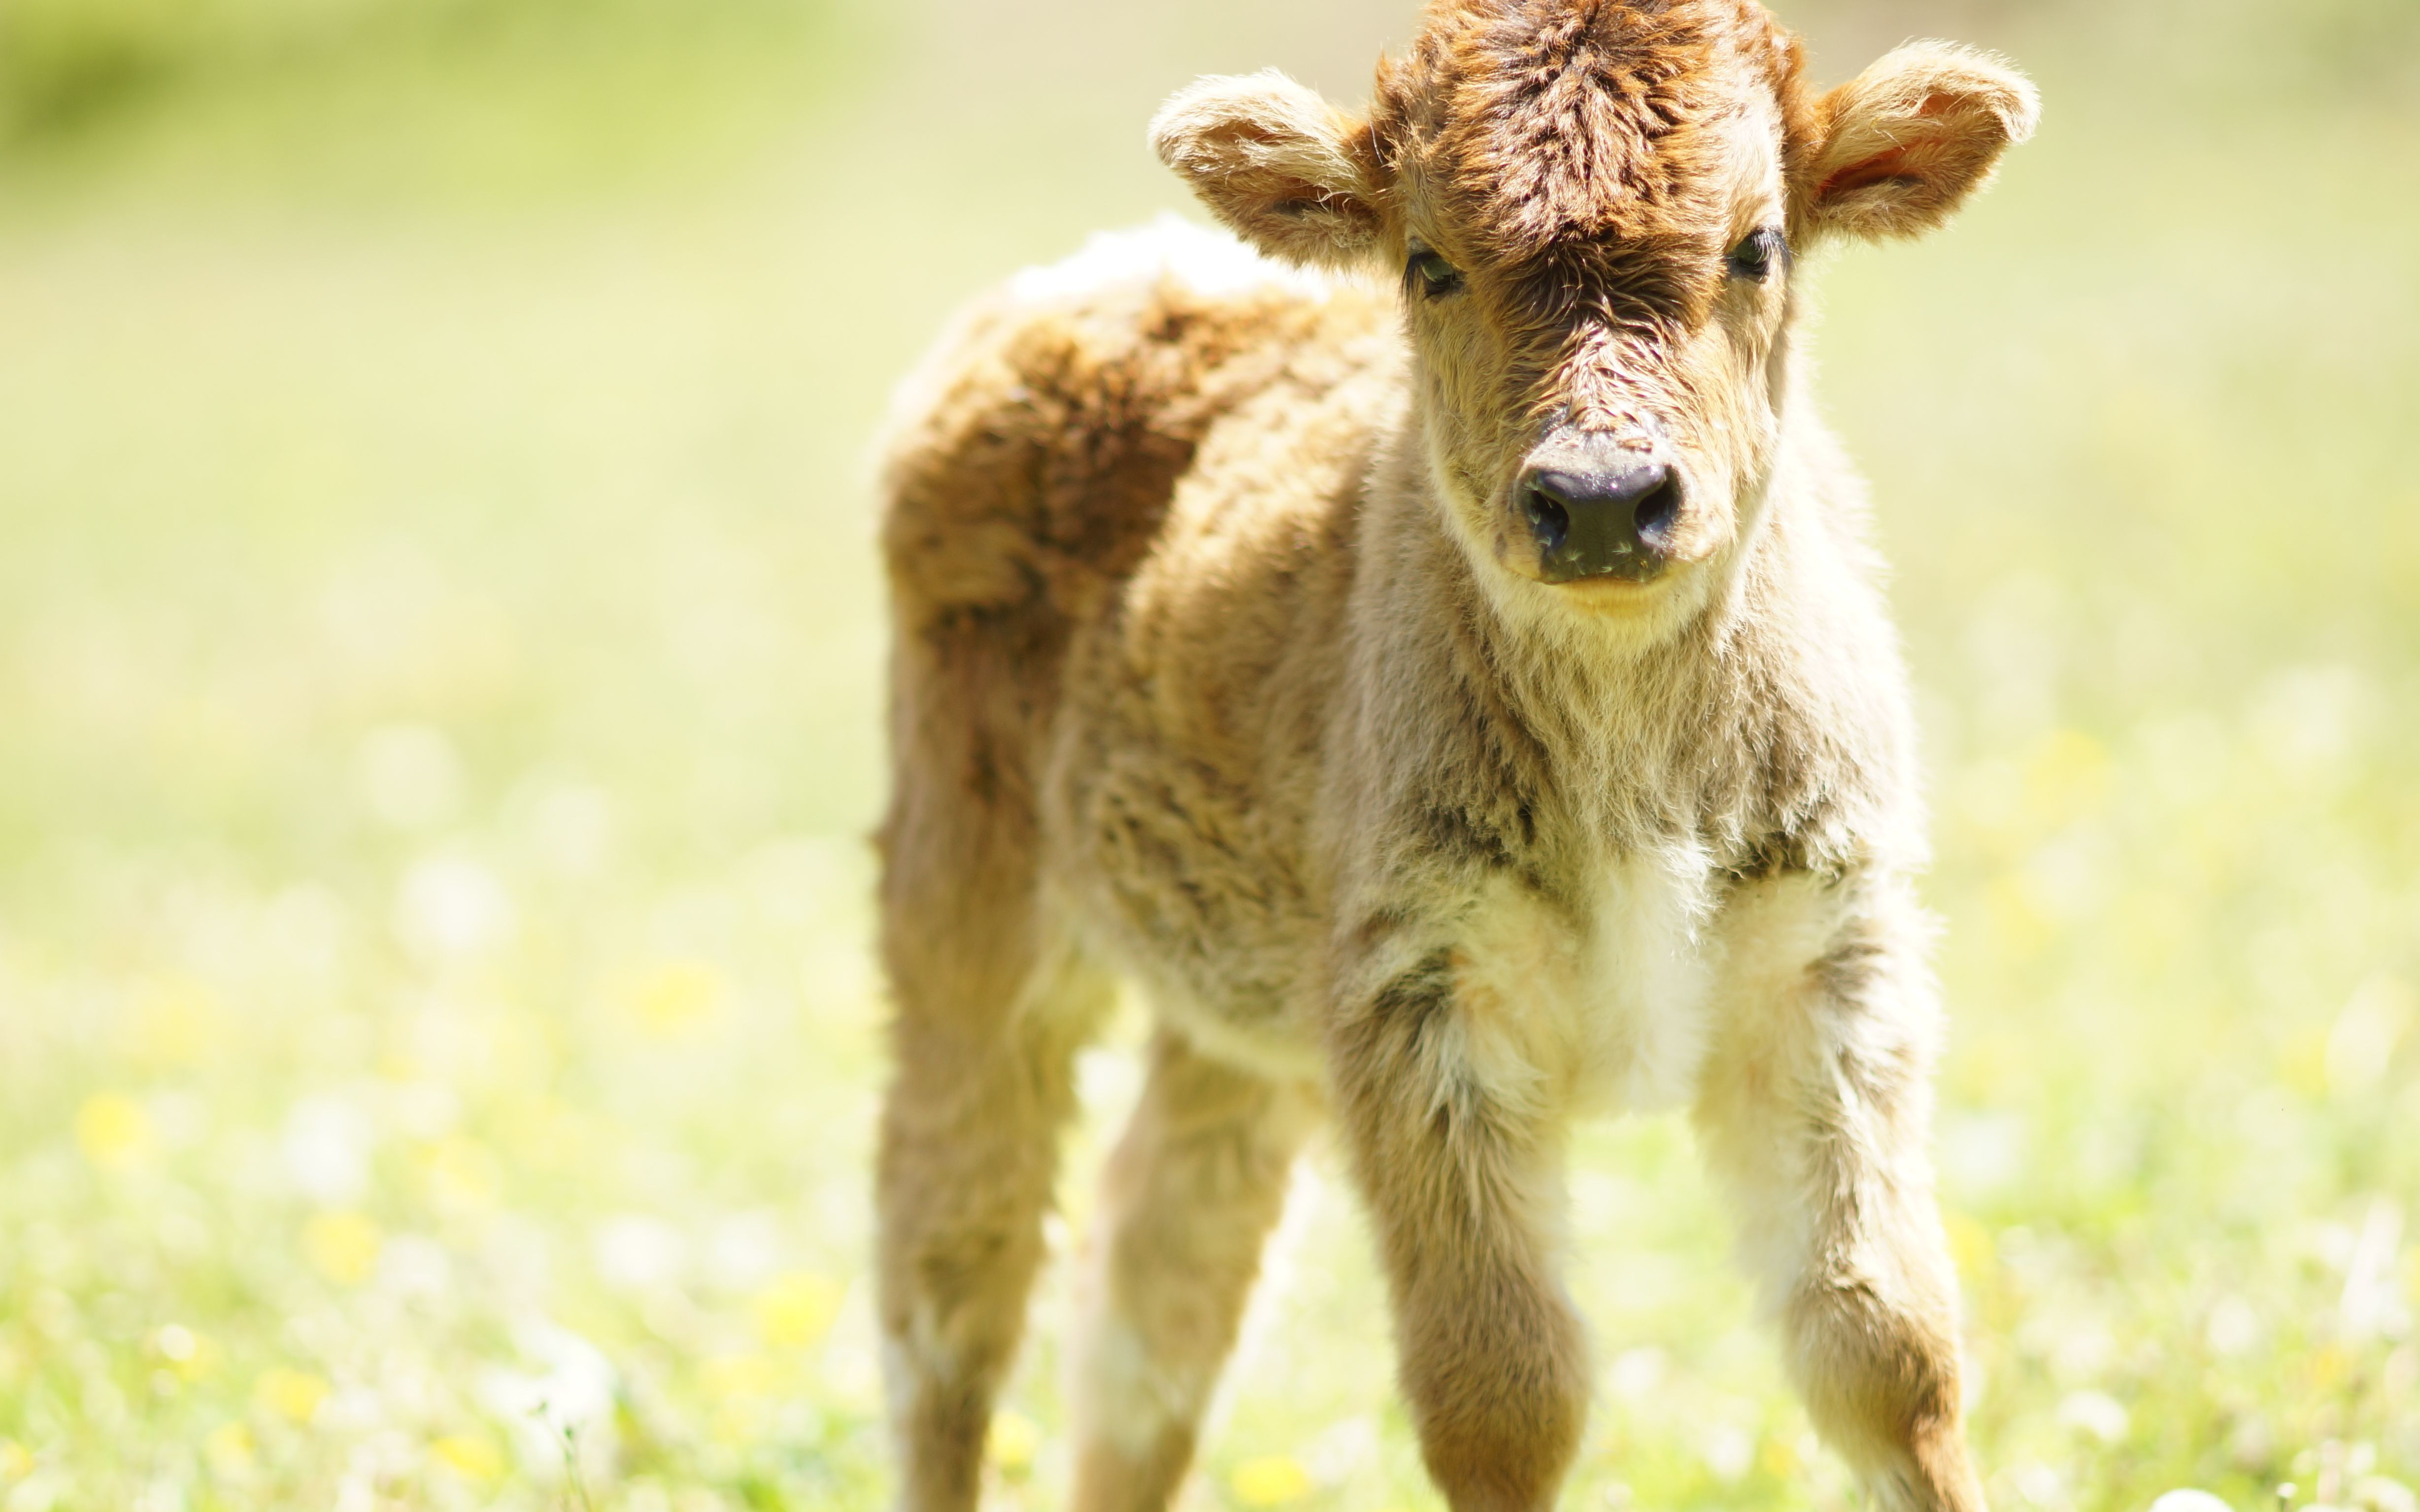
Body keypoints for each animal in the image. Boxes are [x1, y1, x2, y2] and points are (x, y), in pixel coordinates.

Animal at [880, 5, 2033, 1500]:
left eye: (1757, 245)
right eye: (1428, 261)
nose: (1599, 502)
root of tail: (1089, 280)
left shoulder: (1830, 966)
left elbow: (1884, 1347)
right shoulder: (1418, 1001)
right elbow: (1501, 1390)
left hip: (1238, 1023)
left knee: (1157, 1279)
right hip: (968, 925)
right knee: (954, 1282)